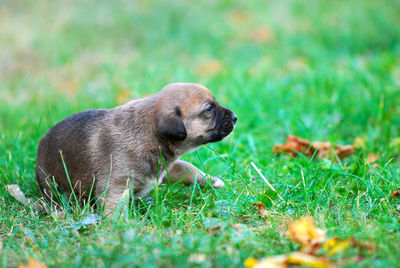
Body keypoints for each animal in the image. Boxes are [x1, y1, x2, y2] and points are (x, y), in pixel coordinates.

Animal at [35, 83, 238, 211]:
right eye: (209, 109)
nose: (235, 117)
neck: (152, 133)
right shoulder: (115, 186)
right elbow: (114, 208)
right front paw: (120, 229)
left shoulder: (168, 168)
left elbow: (189, 169)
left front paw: (212, 180)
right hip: (51, 183)